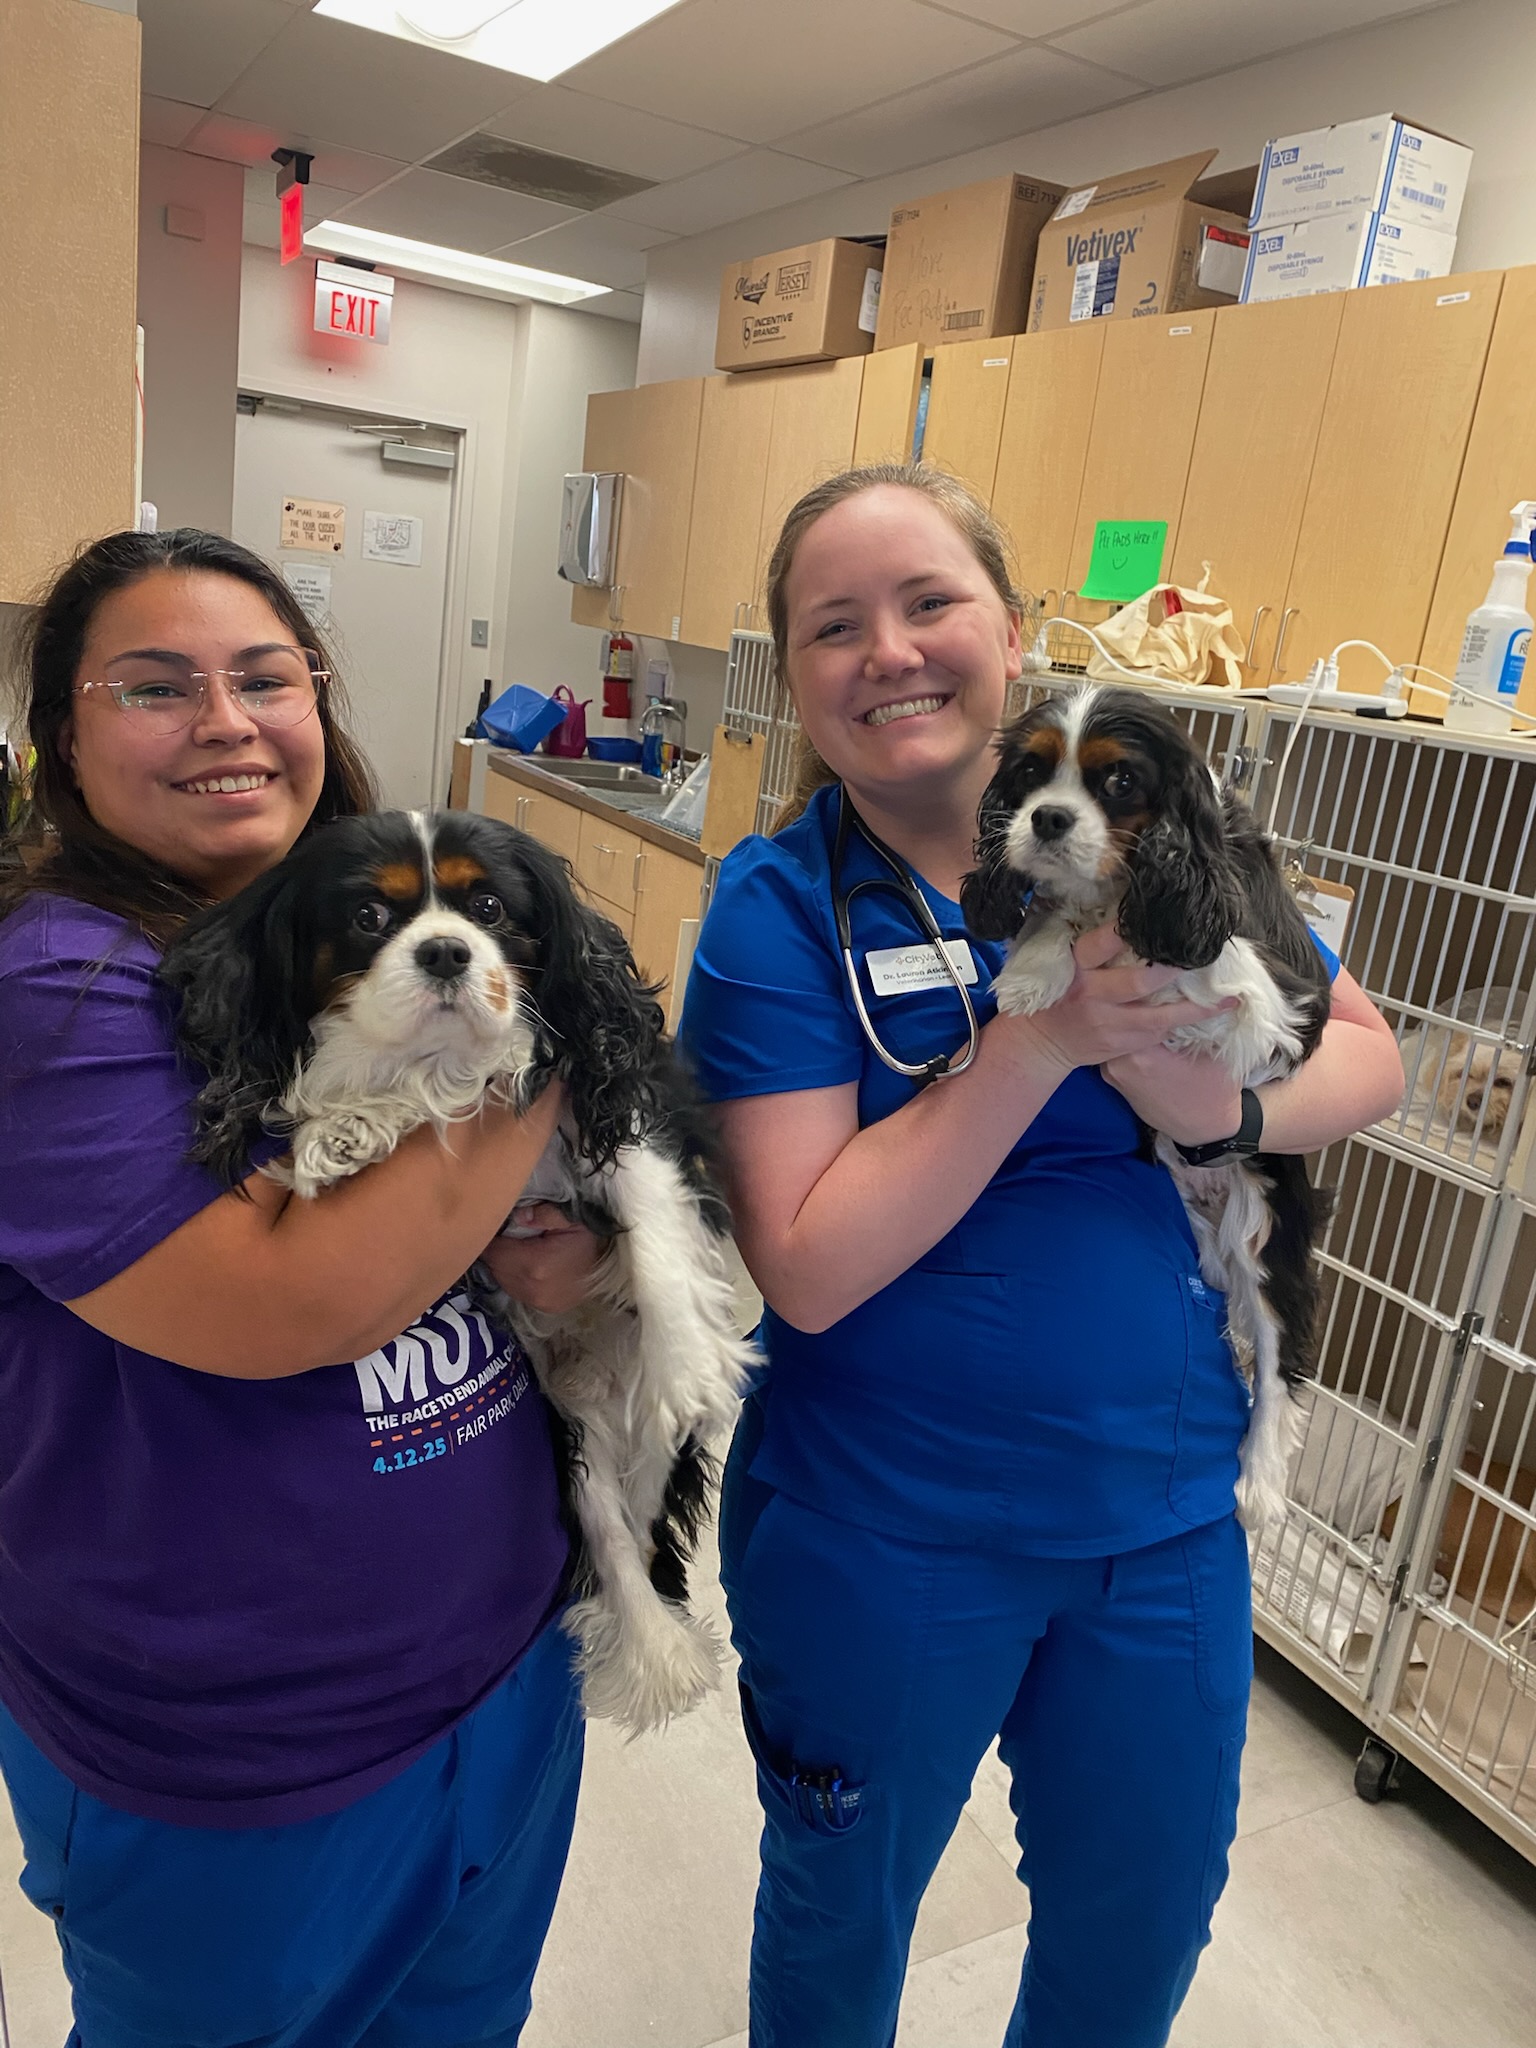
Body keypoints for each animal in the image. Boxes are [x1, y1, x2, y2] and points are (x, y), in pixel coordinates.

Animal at [160, 808, 753, 1734]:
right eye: (371, 917)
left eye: (490, 908)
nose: (446, 950)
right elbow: (392, 1092)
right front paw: (348, 1128)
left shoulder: (621, 1107)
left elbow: (653, 1225)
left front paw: (690, 1363)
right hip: (569, 1430)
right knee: (611, 1525)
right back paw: (650, 1645)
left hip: (644, 1440)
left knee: (648, 1505)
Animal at [960, 686, 1332, 1531]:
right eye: (1029, 773)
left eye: (1119, 782)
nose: (1047, 819)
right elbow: (1053, 916)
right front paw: (1033, 972)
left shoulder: (1280, 1005)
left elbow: (1194, 972)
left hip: (1268, 1234)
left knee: (1282, 1364)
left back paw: (1259, 1485)